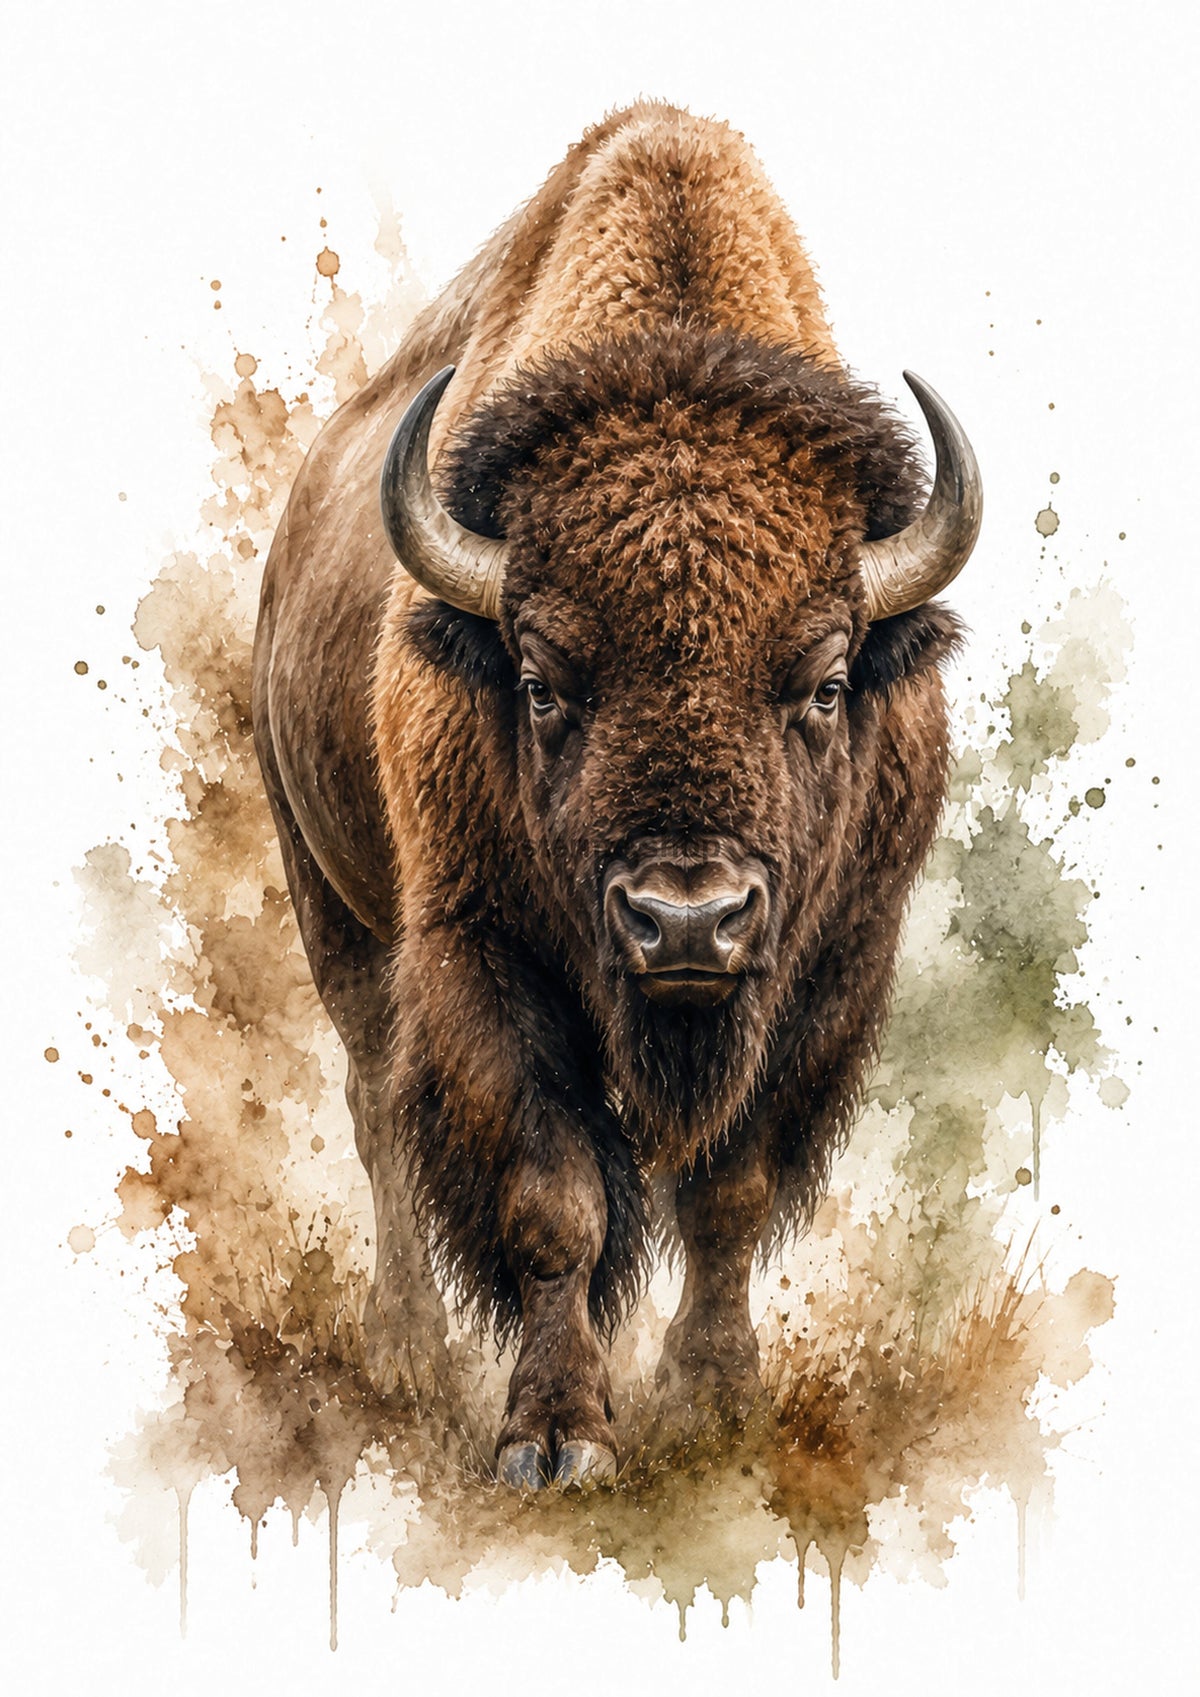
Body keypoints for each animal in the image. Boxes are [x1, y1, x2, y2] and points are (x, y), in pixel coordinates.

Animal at [252, 101, 981, 1489]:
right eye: (541, 681)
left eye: (825, 681)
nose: (686, 917)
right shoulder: (481, 950)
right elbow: (554, 1198)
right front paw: (556, 1436)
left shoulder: (834, 963)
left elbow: (728, 1189)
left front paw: (712, 1398)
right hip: (330, 903)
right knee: (378, 1116)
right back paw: (406, 1353)